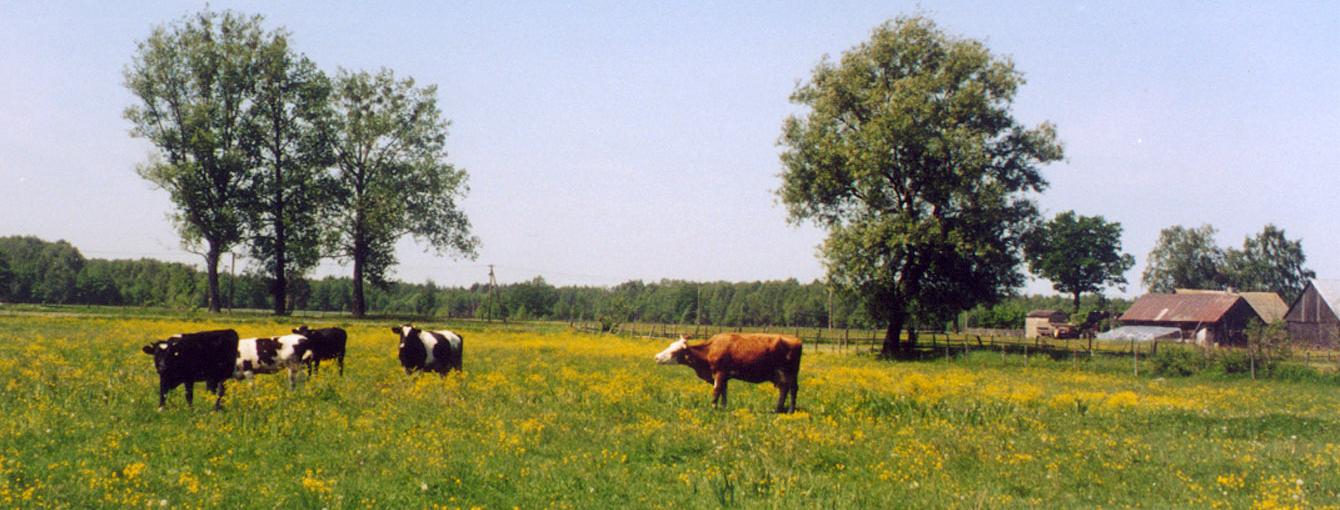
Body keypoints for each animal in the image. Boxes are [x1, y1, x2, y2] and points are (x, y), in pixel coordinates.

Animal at [653, 331, 798, 412]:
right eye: (671, 345)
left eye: (675, 351)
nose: (657, 357)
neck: (709, 350)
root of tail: (795, 339)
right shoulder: (724, 376)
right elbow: (724, 392)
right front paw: (723, 407)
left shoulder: (720, 373)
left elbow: (717, 390)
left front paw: (713, 408)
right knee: (787, 389)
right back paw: (782, 409)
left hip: (787, 373)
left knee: (789, 389)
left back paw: (785, 410)